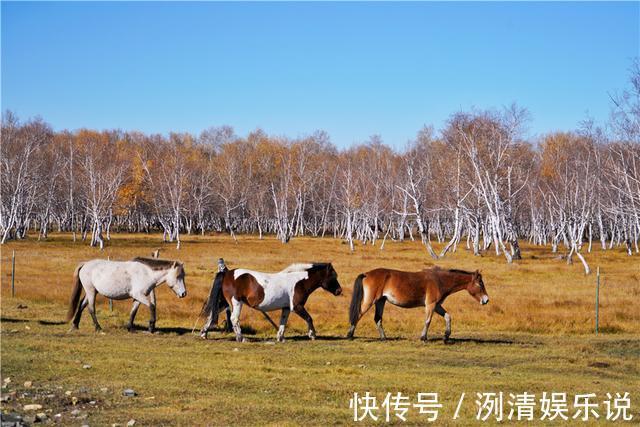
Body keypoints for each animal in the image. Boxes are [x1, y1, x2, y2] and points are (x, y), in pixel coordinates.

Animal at [200, 262, 342, 342]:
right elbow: (309, 318)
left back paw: (203, 334)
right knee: (234, 318)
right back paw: (241, 338)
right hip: (236, 302)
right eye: (333, 276)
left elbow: (282, 322)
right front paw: (312, 335)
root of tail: (227, 273)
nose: (339, 291)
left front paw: (280, 338)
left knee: (211, 315)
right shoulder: (297, 307)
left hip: (223, 303)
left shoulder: (286, 308)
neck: (299, 281)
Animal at [344, 270, 490, 342]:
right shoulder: (431, 305)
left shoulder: (437, 305)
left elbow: (448, 317)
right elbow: (428, 321)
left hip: (381, 301)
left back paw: (383, 338)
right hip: (370, 301)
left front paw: (446, 336)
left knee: (378, 319)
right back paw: (350, 335)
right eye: (480, 284)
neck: (439, 281)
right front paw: (423, 337)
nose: (486, 300)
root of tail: (366, 274)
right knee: (358, 315)